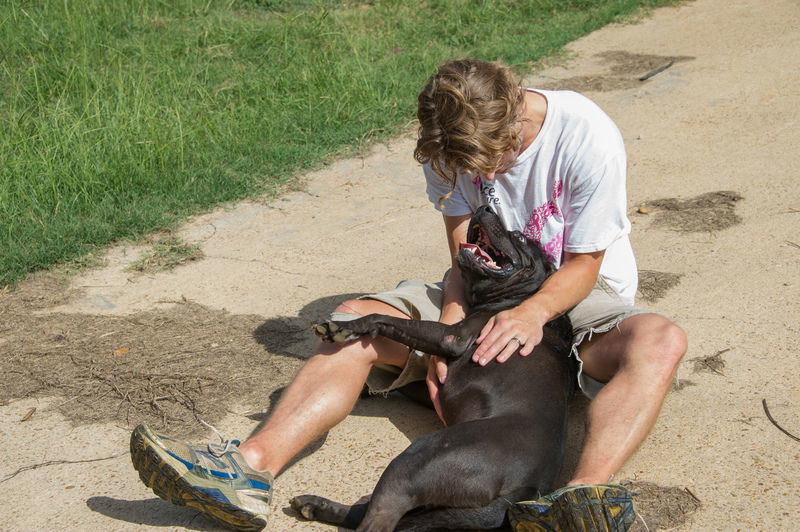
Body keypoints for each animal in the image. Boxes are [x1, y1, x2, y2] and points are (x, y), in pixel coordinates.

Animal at [290, 207, 572, 532]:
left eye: (520, 237)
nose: (485, 207)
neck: (521, 298)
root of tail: (520, 494)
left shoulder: (452, 338)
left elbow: (386, 321)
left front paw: (347, 328)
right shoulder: (437, 389)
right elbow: (406, 382)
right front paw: (369, 389)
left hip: (417, 461)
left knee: (380, 516)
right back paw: (316, 505)